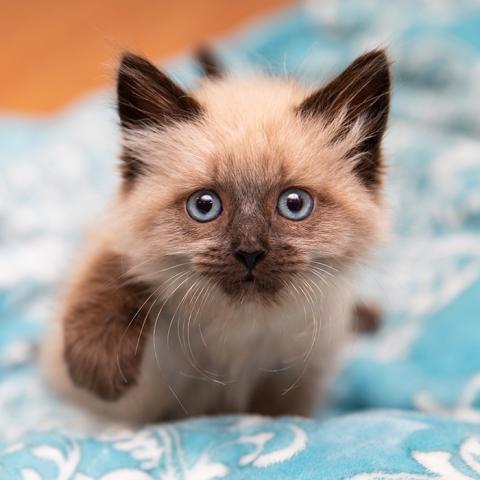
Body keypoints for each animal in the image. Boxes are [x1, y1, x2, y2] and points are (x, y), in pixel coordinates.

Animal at [42, 48, 390, 422]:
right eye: (205, 206)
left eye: (294, 204)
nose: (250, 251)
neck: (240, 326)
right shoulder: (117, 235)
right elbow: (114, 266)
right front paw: (100, 369)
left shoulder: (298, 371)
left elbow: (275, 414)